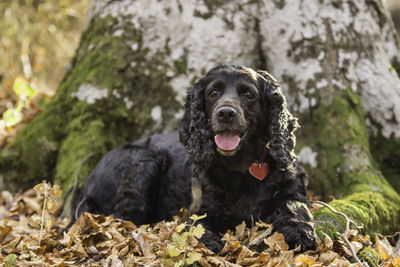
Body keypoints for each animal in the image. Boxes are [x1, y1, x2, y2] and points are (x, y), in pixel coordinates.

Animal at [75, 63, 318, 252]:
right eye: (213, 93)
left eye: (249, 94)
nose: (226, 113)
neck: (241, 169)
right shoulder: (198, 208)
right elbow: (198, 224)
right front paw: (209, 240)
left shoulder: (291, 188)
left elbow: (294, 207)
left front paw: (301, 232)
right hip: (145, 163)